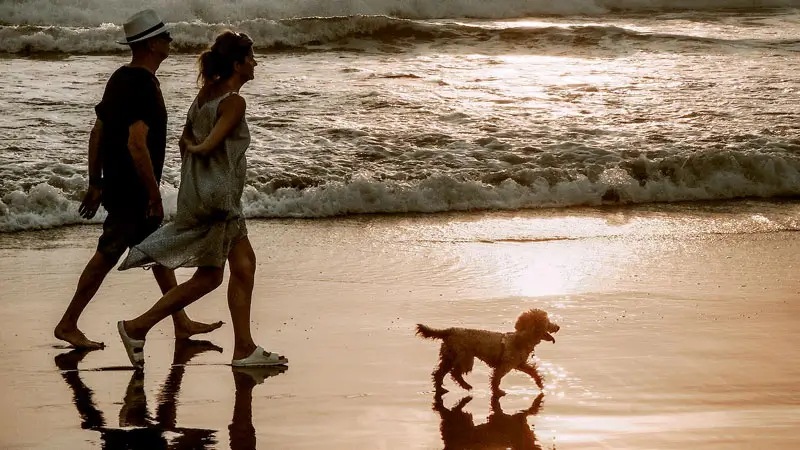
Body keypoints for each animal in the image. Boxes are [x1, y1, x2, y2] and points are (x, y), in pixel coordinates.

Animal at [416, 308, 560, 396]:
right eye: (548, 322)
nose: (558, 327)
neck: (521, 339)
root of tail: (450, 330)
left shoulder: (519, 364)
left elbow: (533, 371)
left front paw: (540, 383)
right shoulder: (503, 366)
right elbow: (496, 379)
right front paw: (497, 392)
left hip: (449, 356)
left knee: (439, 374)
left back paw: (441, 388)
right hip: (465, 357)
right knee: (454, 373)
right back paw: (466, 386)